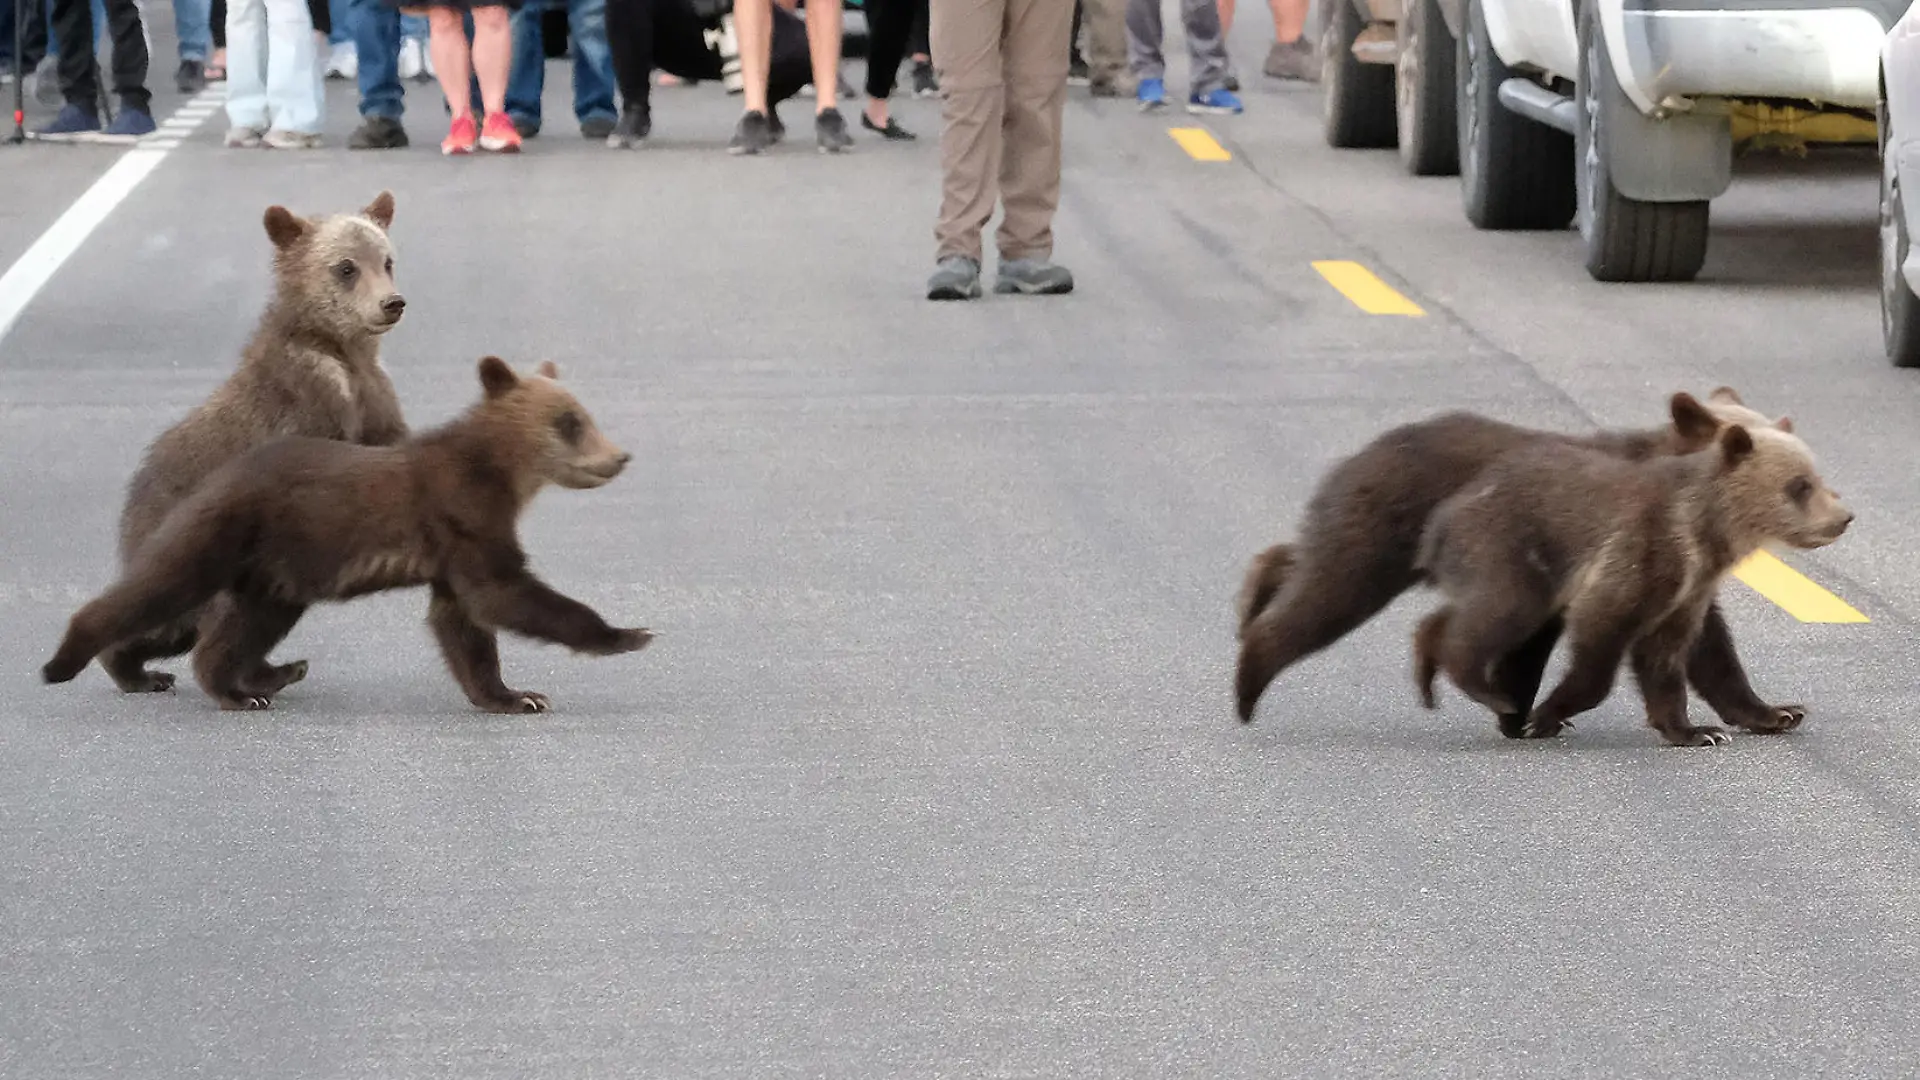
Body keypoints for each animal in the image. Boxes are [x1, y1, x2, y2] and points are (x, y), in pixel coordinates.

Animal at [41, 356, 652, 714]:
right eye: (571, 422)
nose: (620, 456)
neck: (497, 472)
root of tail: (214, 477)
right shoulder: (461, 513)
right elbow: (503, 594)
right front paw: (627, 634)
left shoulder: (452, 547)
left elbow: (461, 622)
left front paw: (512, 695)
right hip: (224, 534)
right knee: (162, 594)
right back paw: (80, 664)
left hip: (275, 576)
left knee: (230, 628)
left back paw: (252, 679)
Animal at [98, 191, 410, 699]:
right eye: (346, 267)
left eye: (387, 260)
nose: (392, 303)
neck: (341, 353)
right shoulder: (307, 404)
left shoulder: (375, 397)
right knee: (208, 619)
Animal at [1234, 388, 1805, 737]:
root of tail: (1355, 456)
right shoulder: (1614, 552)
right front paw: (1524, 715)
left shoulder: (1677, 567)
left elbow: (1707, 642)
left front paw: (1774, 711)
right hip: (1382, 532)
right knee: (1331, 591)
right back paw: (1252, 673)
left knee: (1305, 559)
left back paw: (1258, 587)